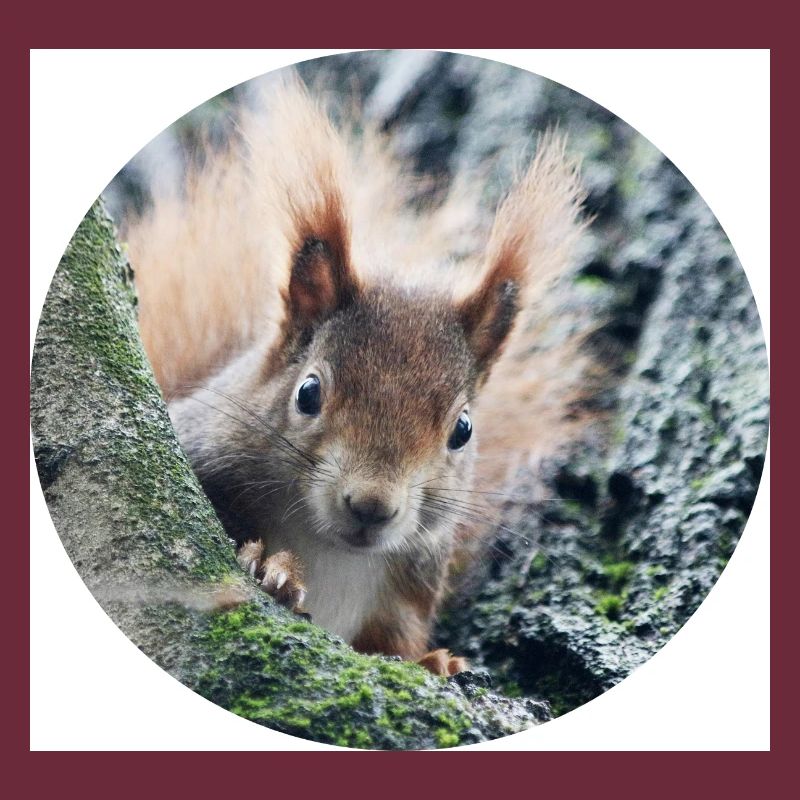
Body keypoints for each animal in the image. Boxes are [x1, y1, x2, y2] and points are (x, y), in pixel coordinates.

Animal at [122, 77, 586, 676]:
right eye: (308, 393)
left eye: (463, 430)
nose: (372, 506)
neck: (332, 553)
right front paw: (273, 567)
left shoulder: (405, 594)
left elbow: (396, 643)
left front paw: (435, 662)